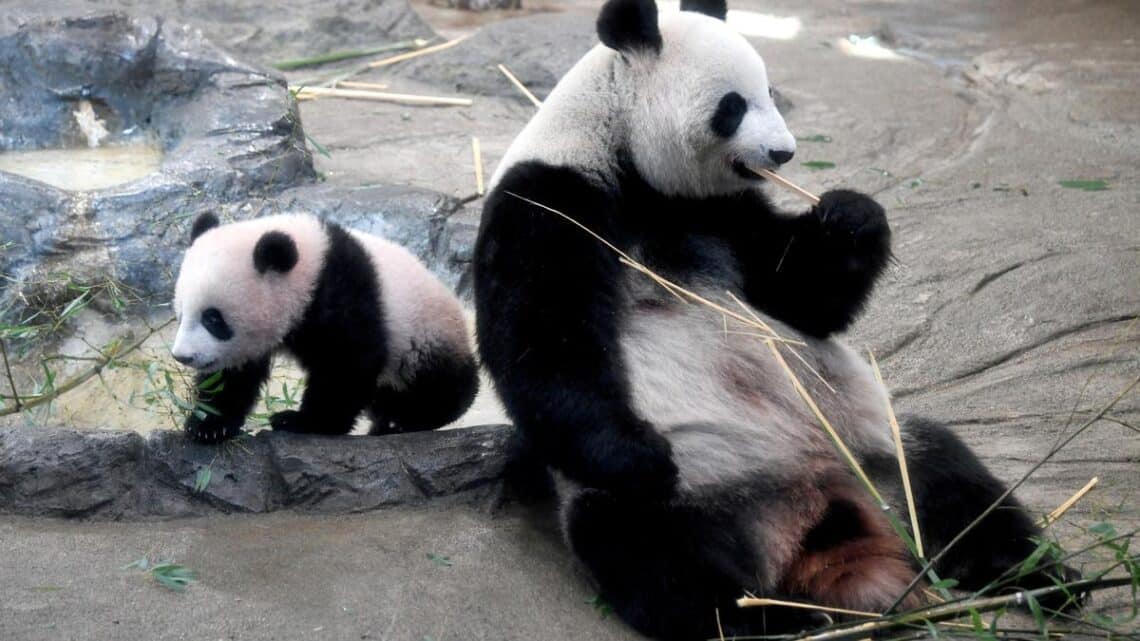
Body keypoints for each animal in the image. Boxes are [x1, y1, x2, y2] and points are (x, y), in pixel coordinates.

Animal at [172, 212, 478, 444]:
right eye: (181, 313)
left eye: (213, 319)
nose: (182, 356)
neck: (311, 266)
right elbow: (233, 376)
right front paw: (209, 425)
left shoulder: (343, 294)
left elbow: (346, 364)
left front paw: (301, 422)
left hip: (424, 334)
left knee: (439, 383)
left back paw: (403, 419)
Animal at [473, 0, 1079, 638]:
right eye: (733, 106)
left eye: (772, 92)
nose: (784, 153)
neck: (626, 157)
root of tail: (816, 504)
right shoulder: (552, 198)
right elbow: (545, 341)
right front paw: (640, 457)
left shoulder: (722, 214)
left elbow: (802, 296)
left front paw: (850, 215)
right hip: (698, 491)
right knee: (651, 554)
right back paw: (767, 617)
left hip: (877, 451)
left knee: (953, 482)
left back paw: (1044, 579)